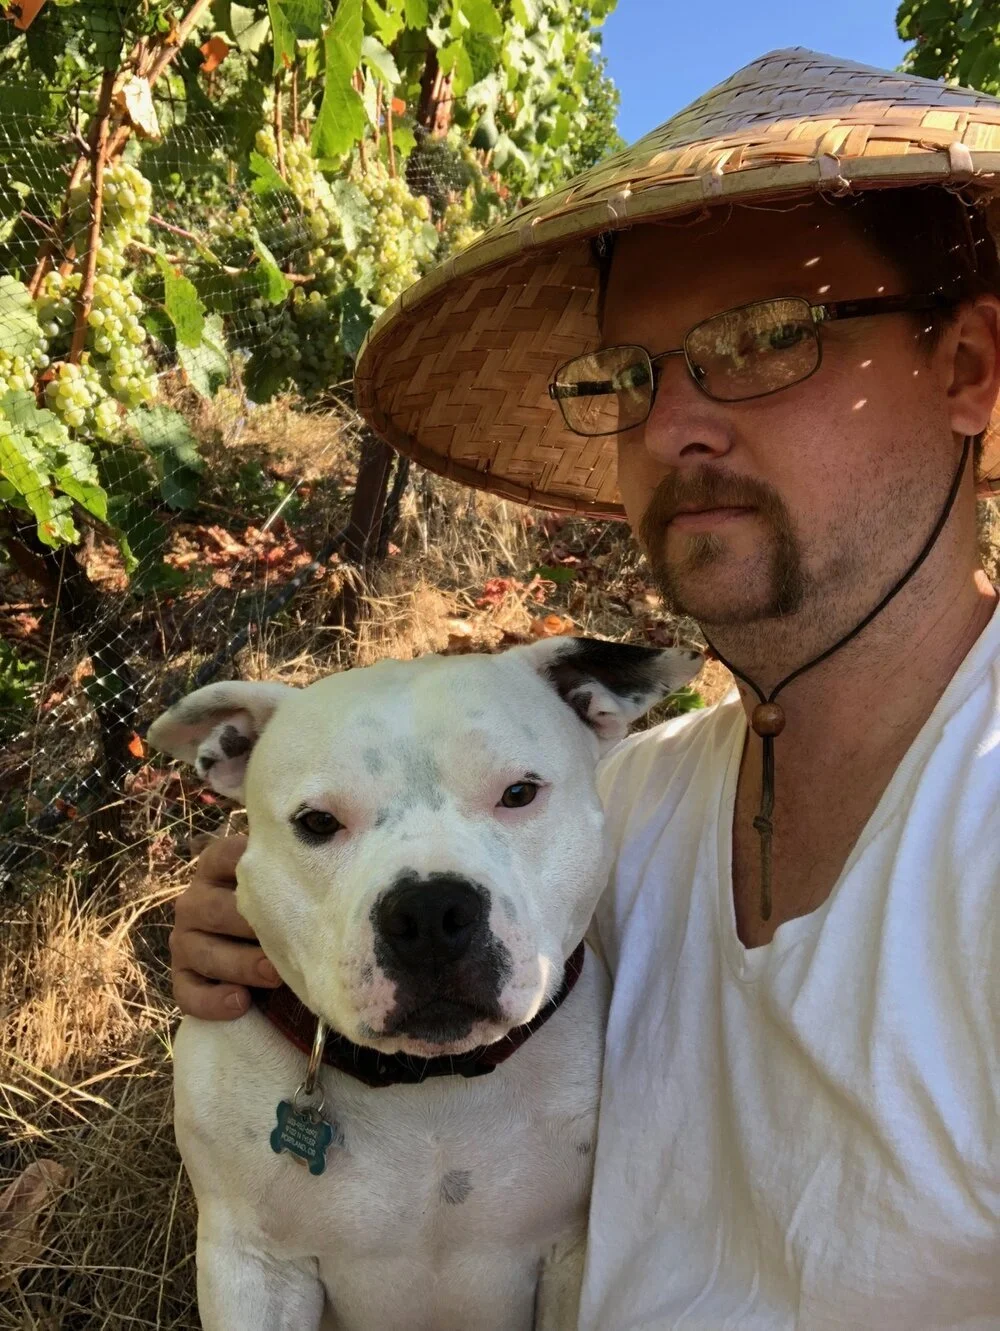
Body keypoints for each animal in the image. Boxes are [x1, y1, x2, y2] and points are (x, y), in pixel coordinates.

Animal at [149, 635, 701, 1331]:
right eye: (316, 822)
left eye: (519, 792)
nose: (431, 914)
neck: (430, 1085)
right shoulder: (253, 1267)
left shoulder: (574, 1254)